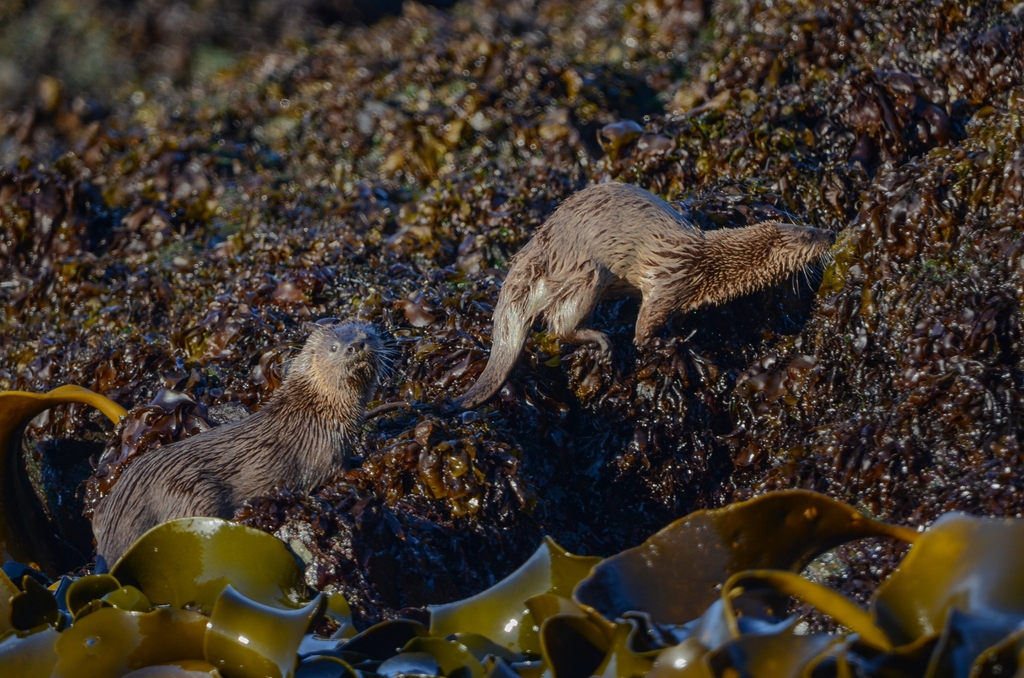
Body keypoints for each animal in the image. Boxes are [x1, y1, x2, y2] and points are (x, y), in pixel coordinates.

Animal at [92, 320, 386, 563]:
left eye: (366, 335)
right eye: (334, 348)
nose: (356, 345)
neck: (317, 412)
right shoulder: (325, 452)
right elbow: (338, 472)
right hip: (195, 492)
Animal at [456, 182, 835, 408]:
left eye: (811, 225)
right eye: (809, 235)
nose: (830, 233)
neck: (706, 263)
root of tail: (534, 251)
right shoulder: (668, 282)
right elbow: (645, 325)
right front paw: (666, 345)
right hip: (585, 271)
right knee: (560, 325)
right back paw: (602, 341)